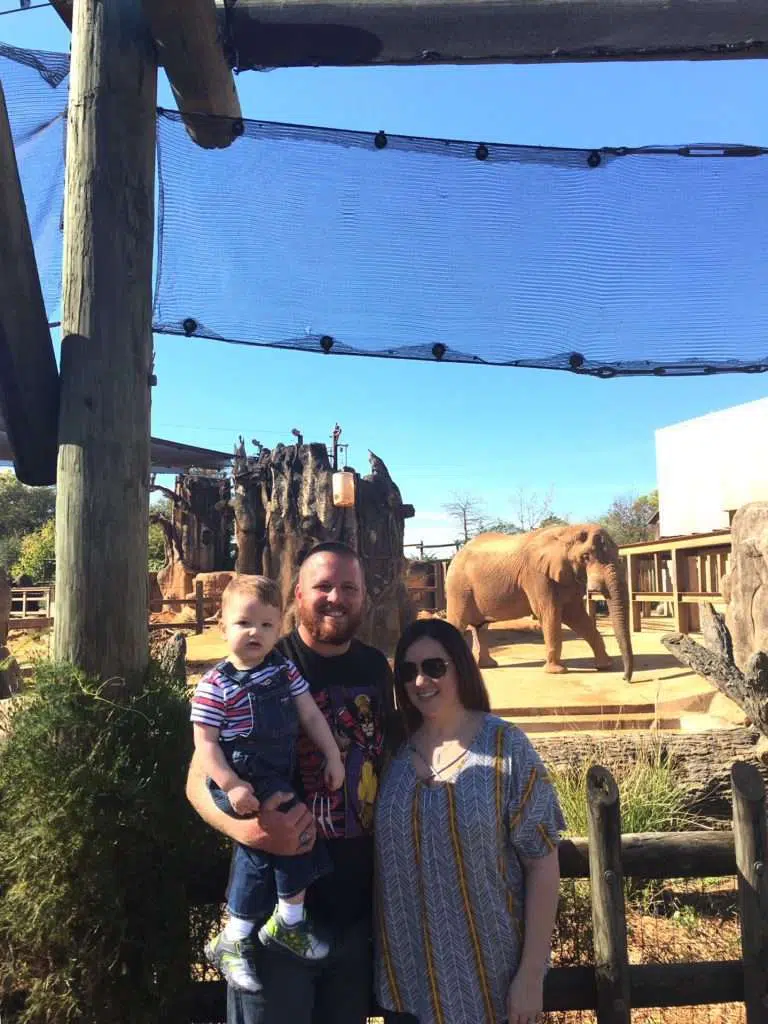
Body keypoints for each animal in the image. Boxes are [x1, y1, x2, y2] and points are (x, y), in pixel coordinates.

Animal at [448, 528, 634, 679]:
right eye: (586, 557)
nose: (625, 679)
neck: (567, 531)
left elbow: (577, 616)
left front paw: (605, 666)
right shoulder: (536, 576)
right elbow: (550, 613)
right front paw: (557, 672)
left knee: (480, 627)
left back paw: (488, 666)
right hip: (458, 588)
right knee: (459, 623)